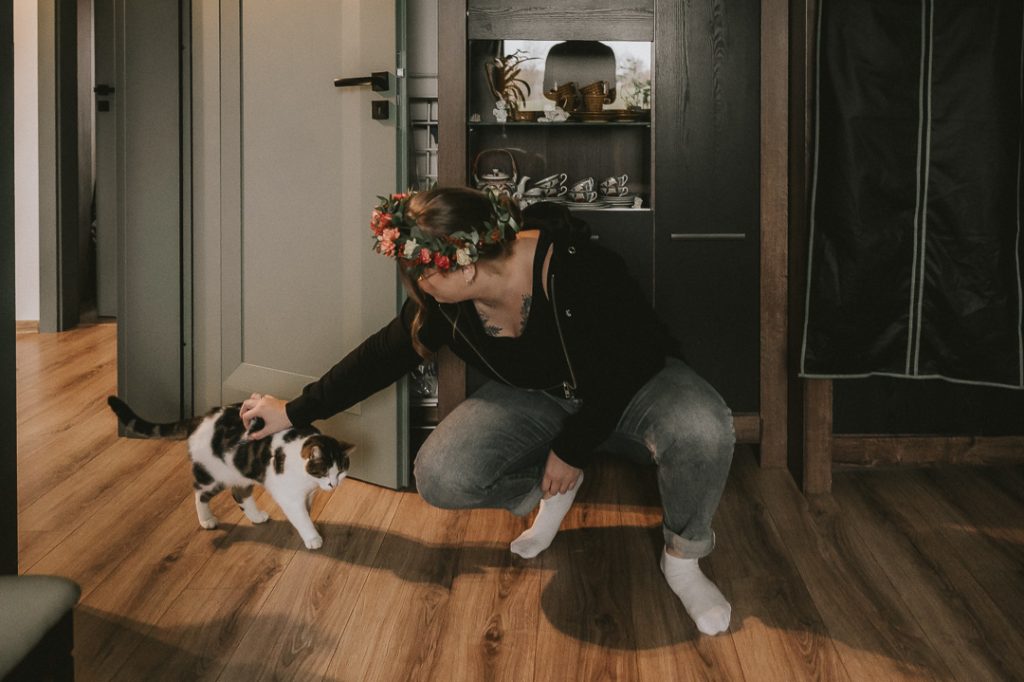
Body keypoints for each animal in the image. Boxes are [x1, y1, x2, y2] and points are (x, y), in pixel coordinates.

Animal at [107, 396, 352, 549]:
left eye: (340, 472)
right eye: (323, 471)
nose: (333, 484)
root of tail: (200, 418)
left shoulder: (308, 493)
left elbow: (307, 510)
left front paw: (312, 524)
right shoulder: (288, 495)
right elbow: (300, 516)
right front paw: (312, 537)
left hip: (240, 470)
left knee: (239, 493)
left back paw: (256, 516)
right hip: (212, 476)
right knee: (199, 493)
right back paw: (206, 520)